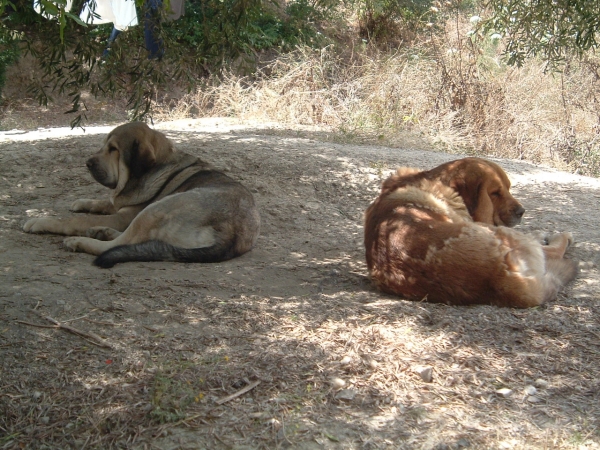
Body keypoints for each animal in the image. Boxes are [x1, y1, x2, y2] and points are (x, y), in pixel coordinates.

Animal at [364, 156, 580, 308]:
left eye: (509, 188)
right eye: (495, 193)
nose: (522, 211)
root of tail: (497, 279)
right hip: (504, 233)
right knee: (553, 250)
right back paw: (560, 237)